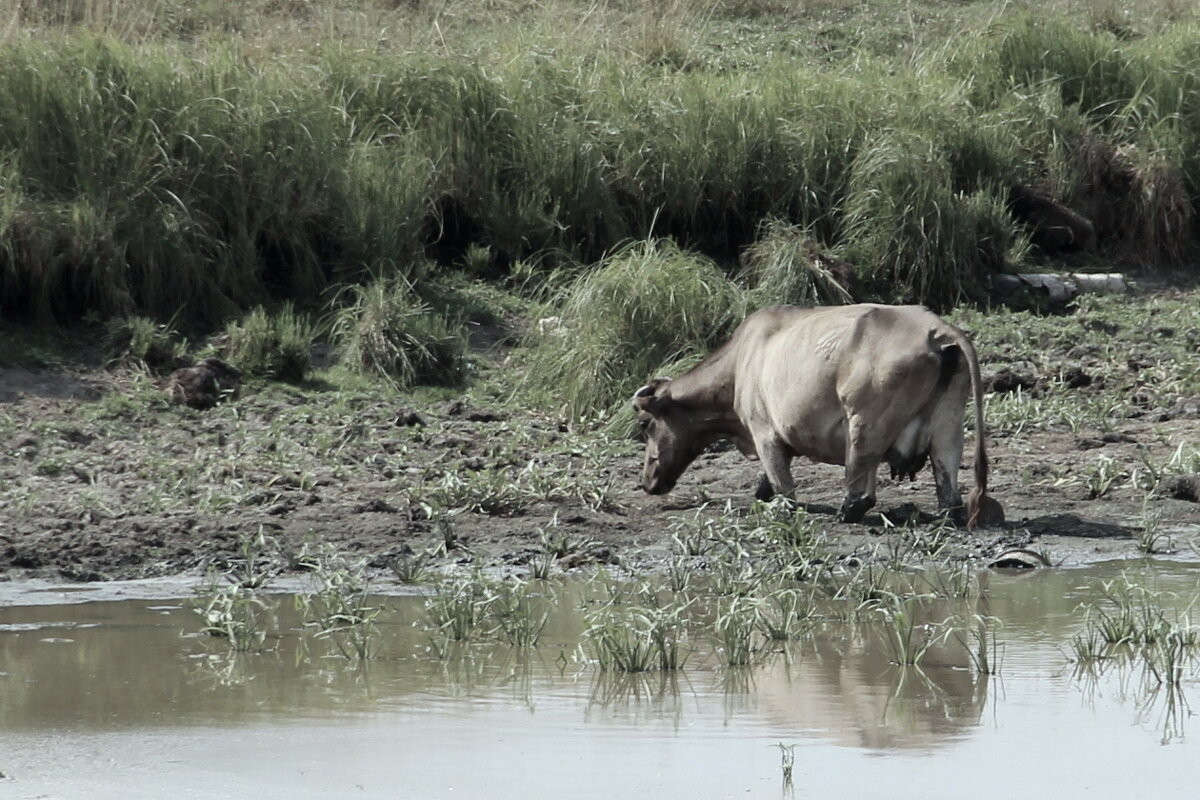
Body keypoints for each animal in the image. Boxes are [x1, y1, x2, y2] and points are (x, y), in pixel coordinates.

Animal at [633, 303, 998, 527]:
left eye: (646, 425)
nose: (646, 481)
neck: (740, 362)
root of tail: (935, 328)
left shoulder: (764, 431)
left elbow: (783, 485)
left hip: (865, 421)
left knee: (861, 482)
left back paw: (846, 511)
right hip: (948, 424)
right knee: (947, 488)